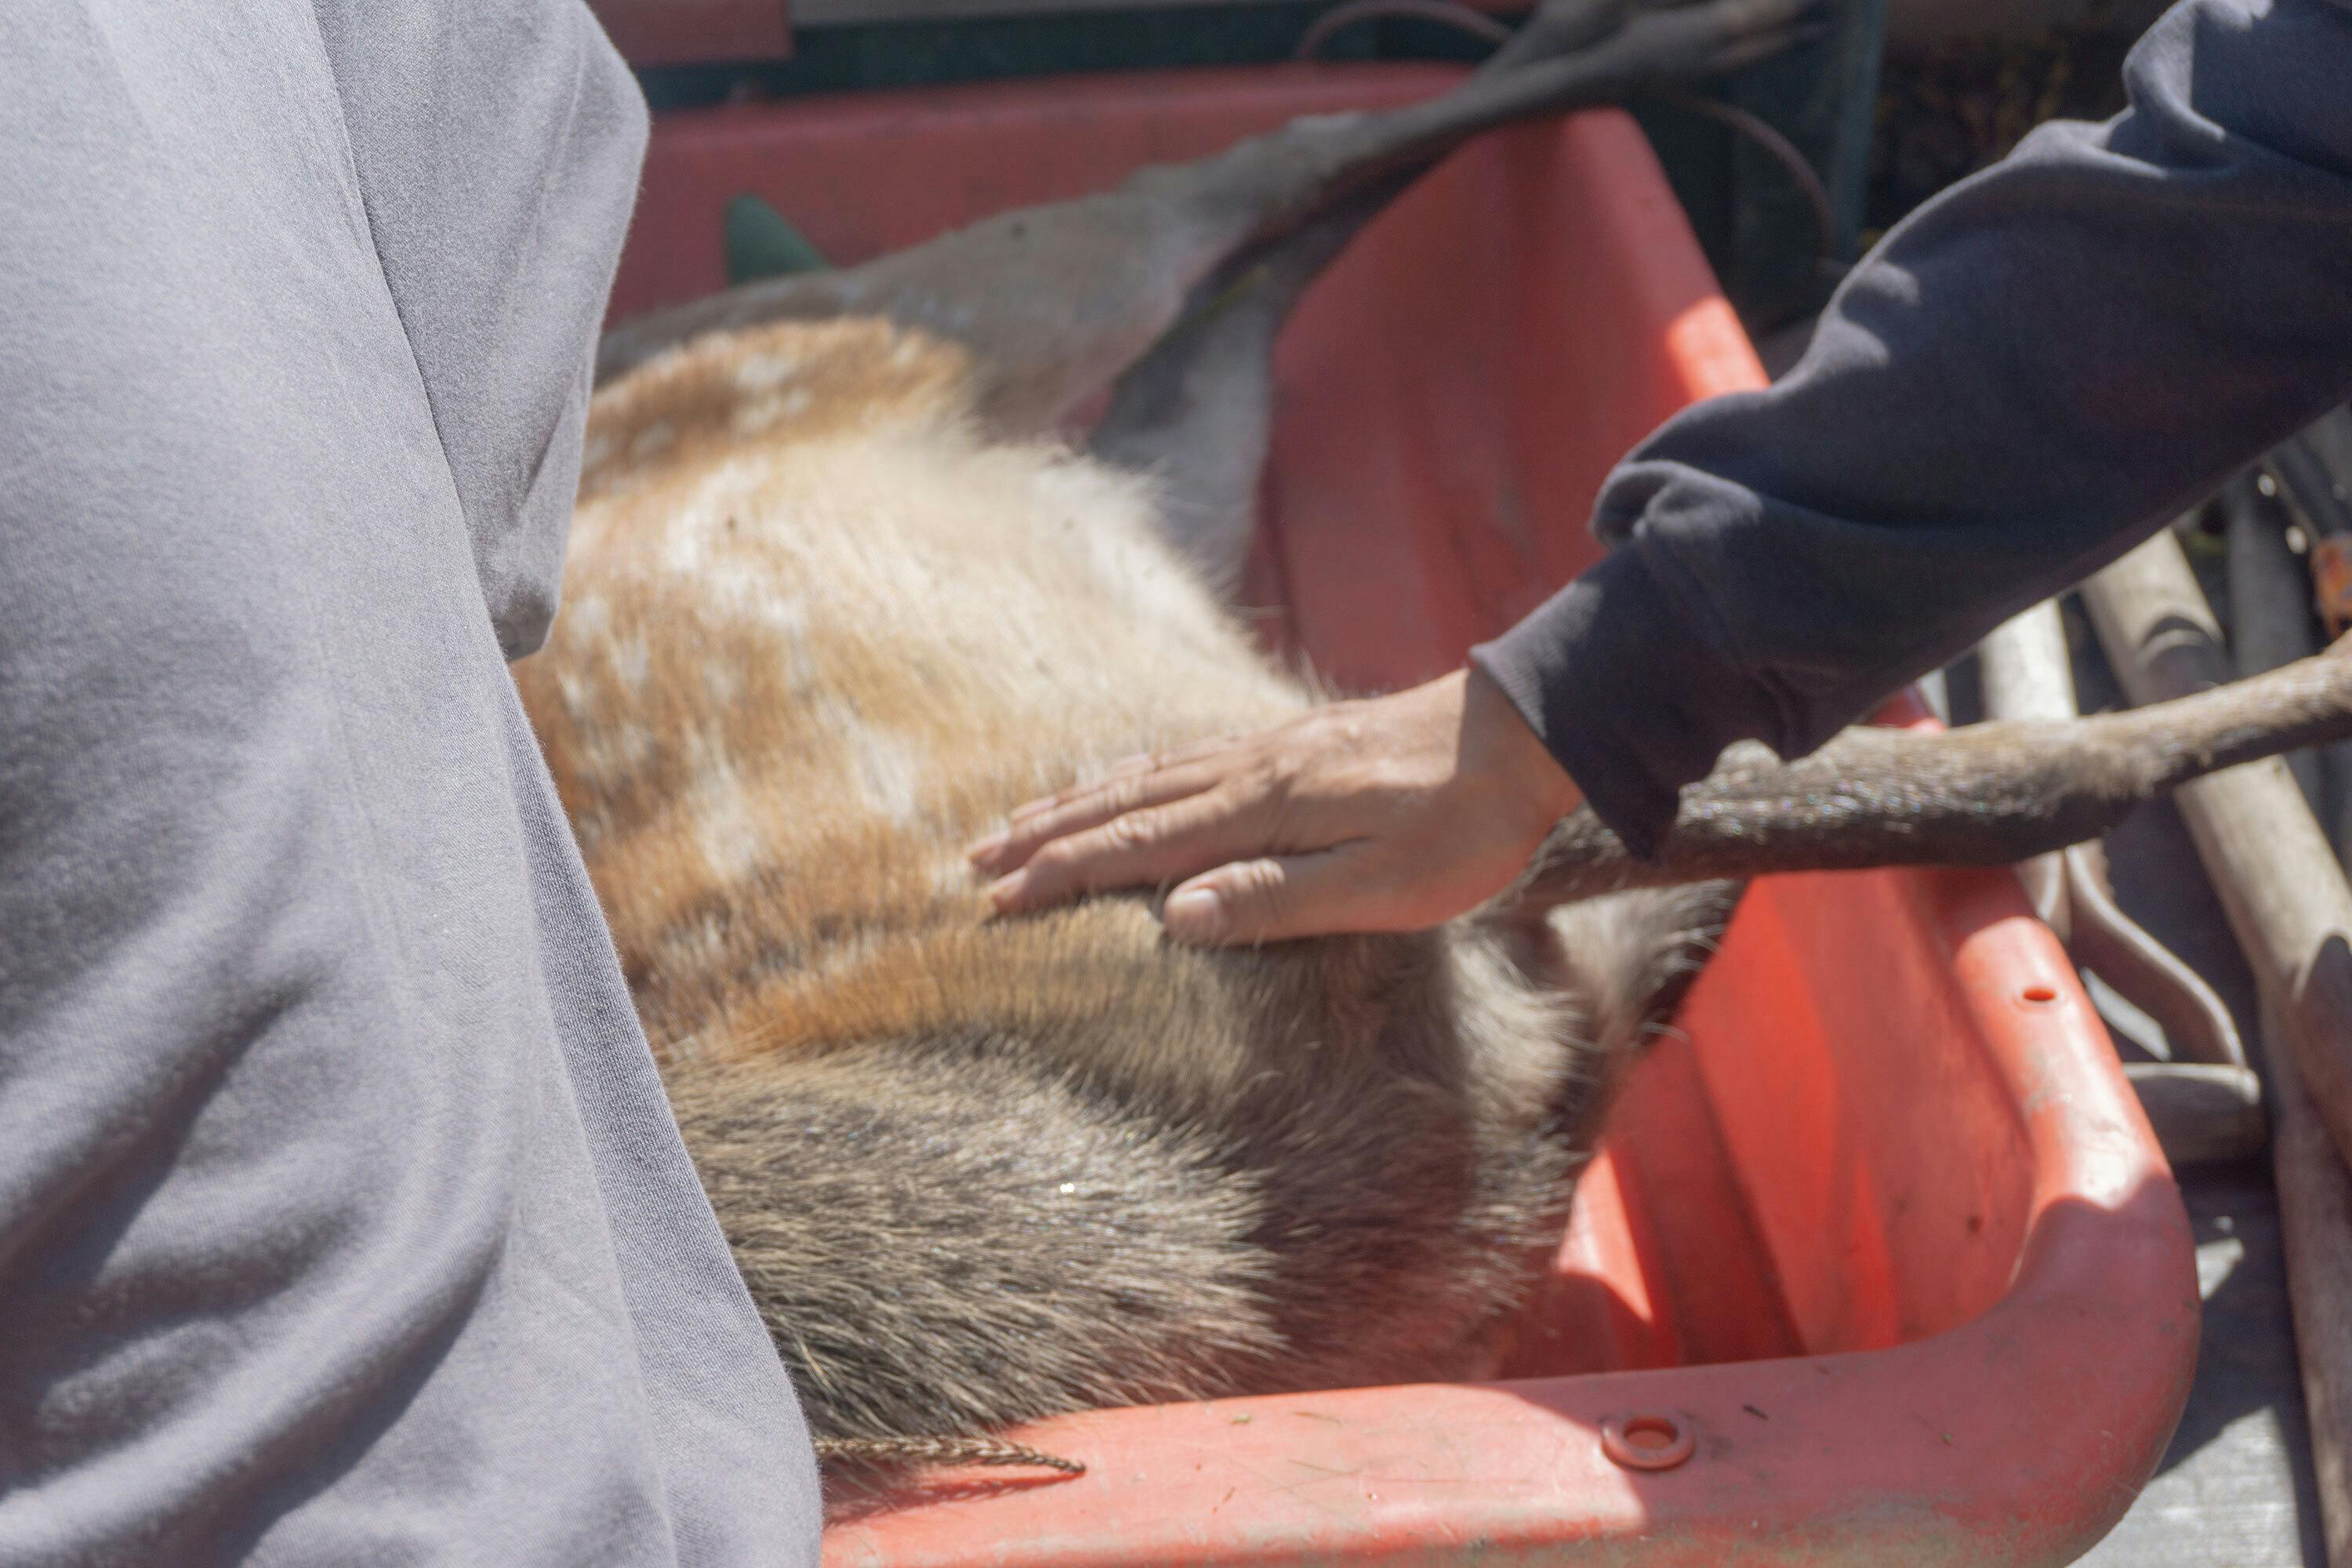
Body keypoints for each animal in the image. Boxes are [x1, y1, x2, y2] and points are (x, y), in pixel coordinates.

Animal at [510, 0, 2352, 1495]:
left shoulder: (1342, 842)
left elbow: (1981, 777)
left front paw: (2315, 691)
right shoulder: (1542, 973)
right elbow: (1926, 795)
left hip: (973, 295)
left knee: (1259, 162)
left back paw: (1674, 41)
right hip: (1177, 452)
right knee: (1264, 268)